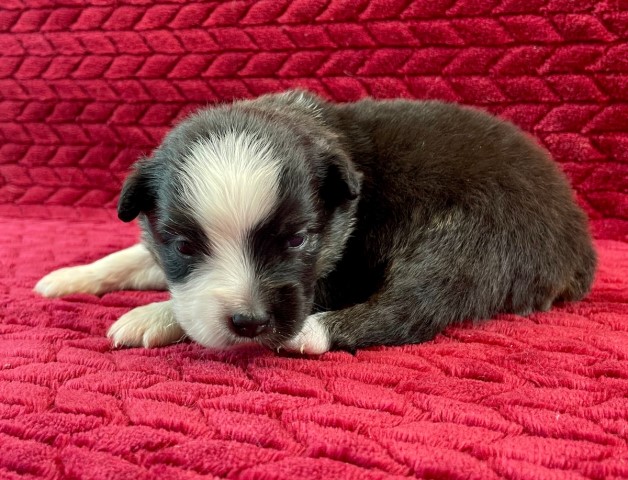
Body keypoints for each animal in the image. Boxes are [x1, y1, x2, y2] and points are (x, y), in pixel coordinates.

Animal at [36, 90, 596, 354]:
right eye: (185, 247)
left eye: (298, 240)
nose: (251, 322)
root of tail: (578, 234)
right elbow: (135, 254)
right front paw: (71, 276)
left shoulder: (337, 266)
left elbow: (192, 308)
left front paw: (150, 316)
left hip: (472, 239)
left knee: (417, 304)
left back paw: (312, 333)